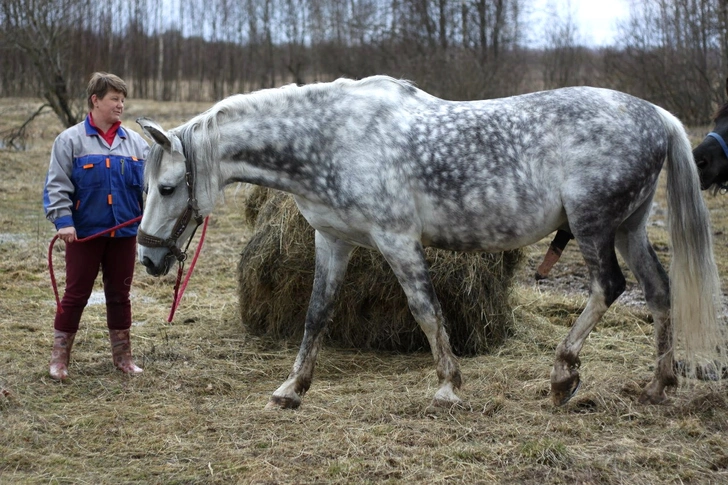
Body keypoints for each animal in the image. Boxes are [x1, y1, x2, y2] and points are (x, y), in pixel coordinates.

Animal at [135, 75, 724, 408]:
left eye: (167, 187)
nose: (148, 257)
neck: (332, 137)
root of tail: (657, 115)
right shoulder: (333, 240)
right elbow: (317, 312)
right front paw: (292, 389)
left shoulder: (396, 239)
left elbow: (426, 310)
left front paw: (447, 386)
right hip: (628, 227)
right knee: (658, 290)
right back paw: (657, 386)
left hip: (593, 225)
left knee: (608, 288)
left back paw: (562, 377)